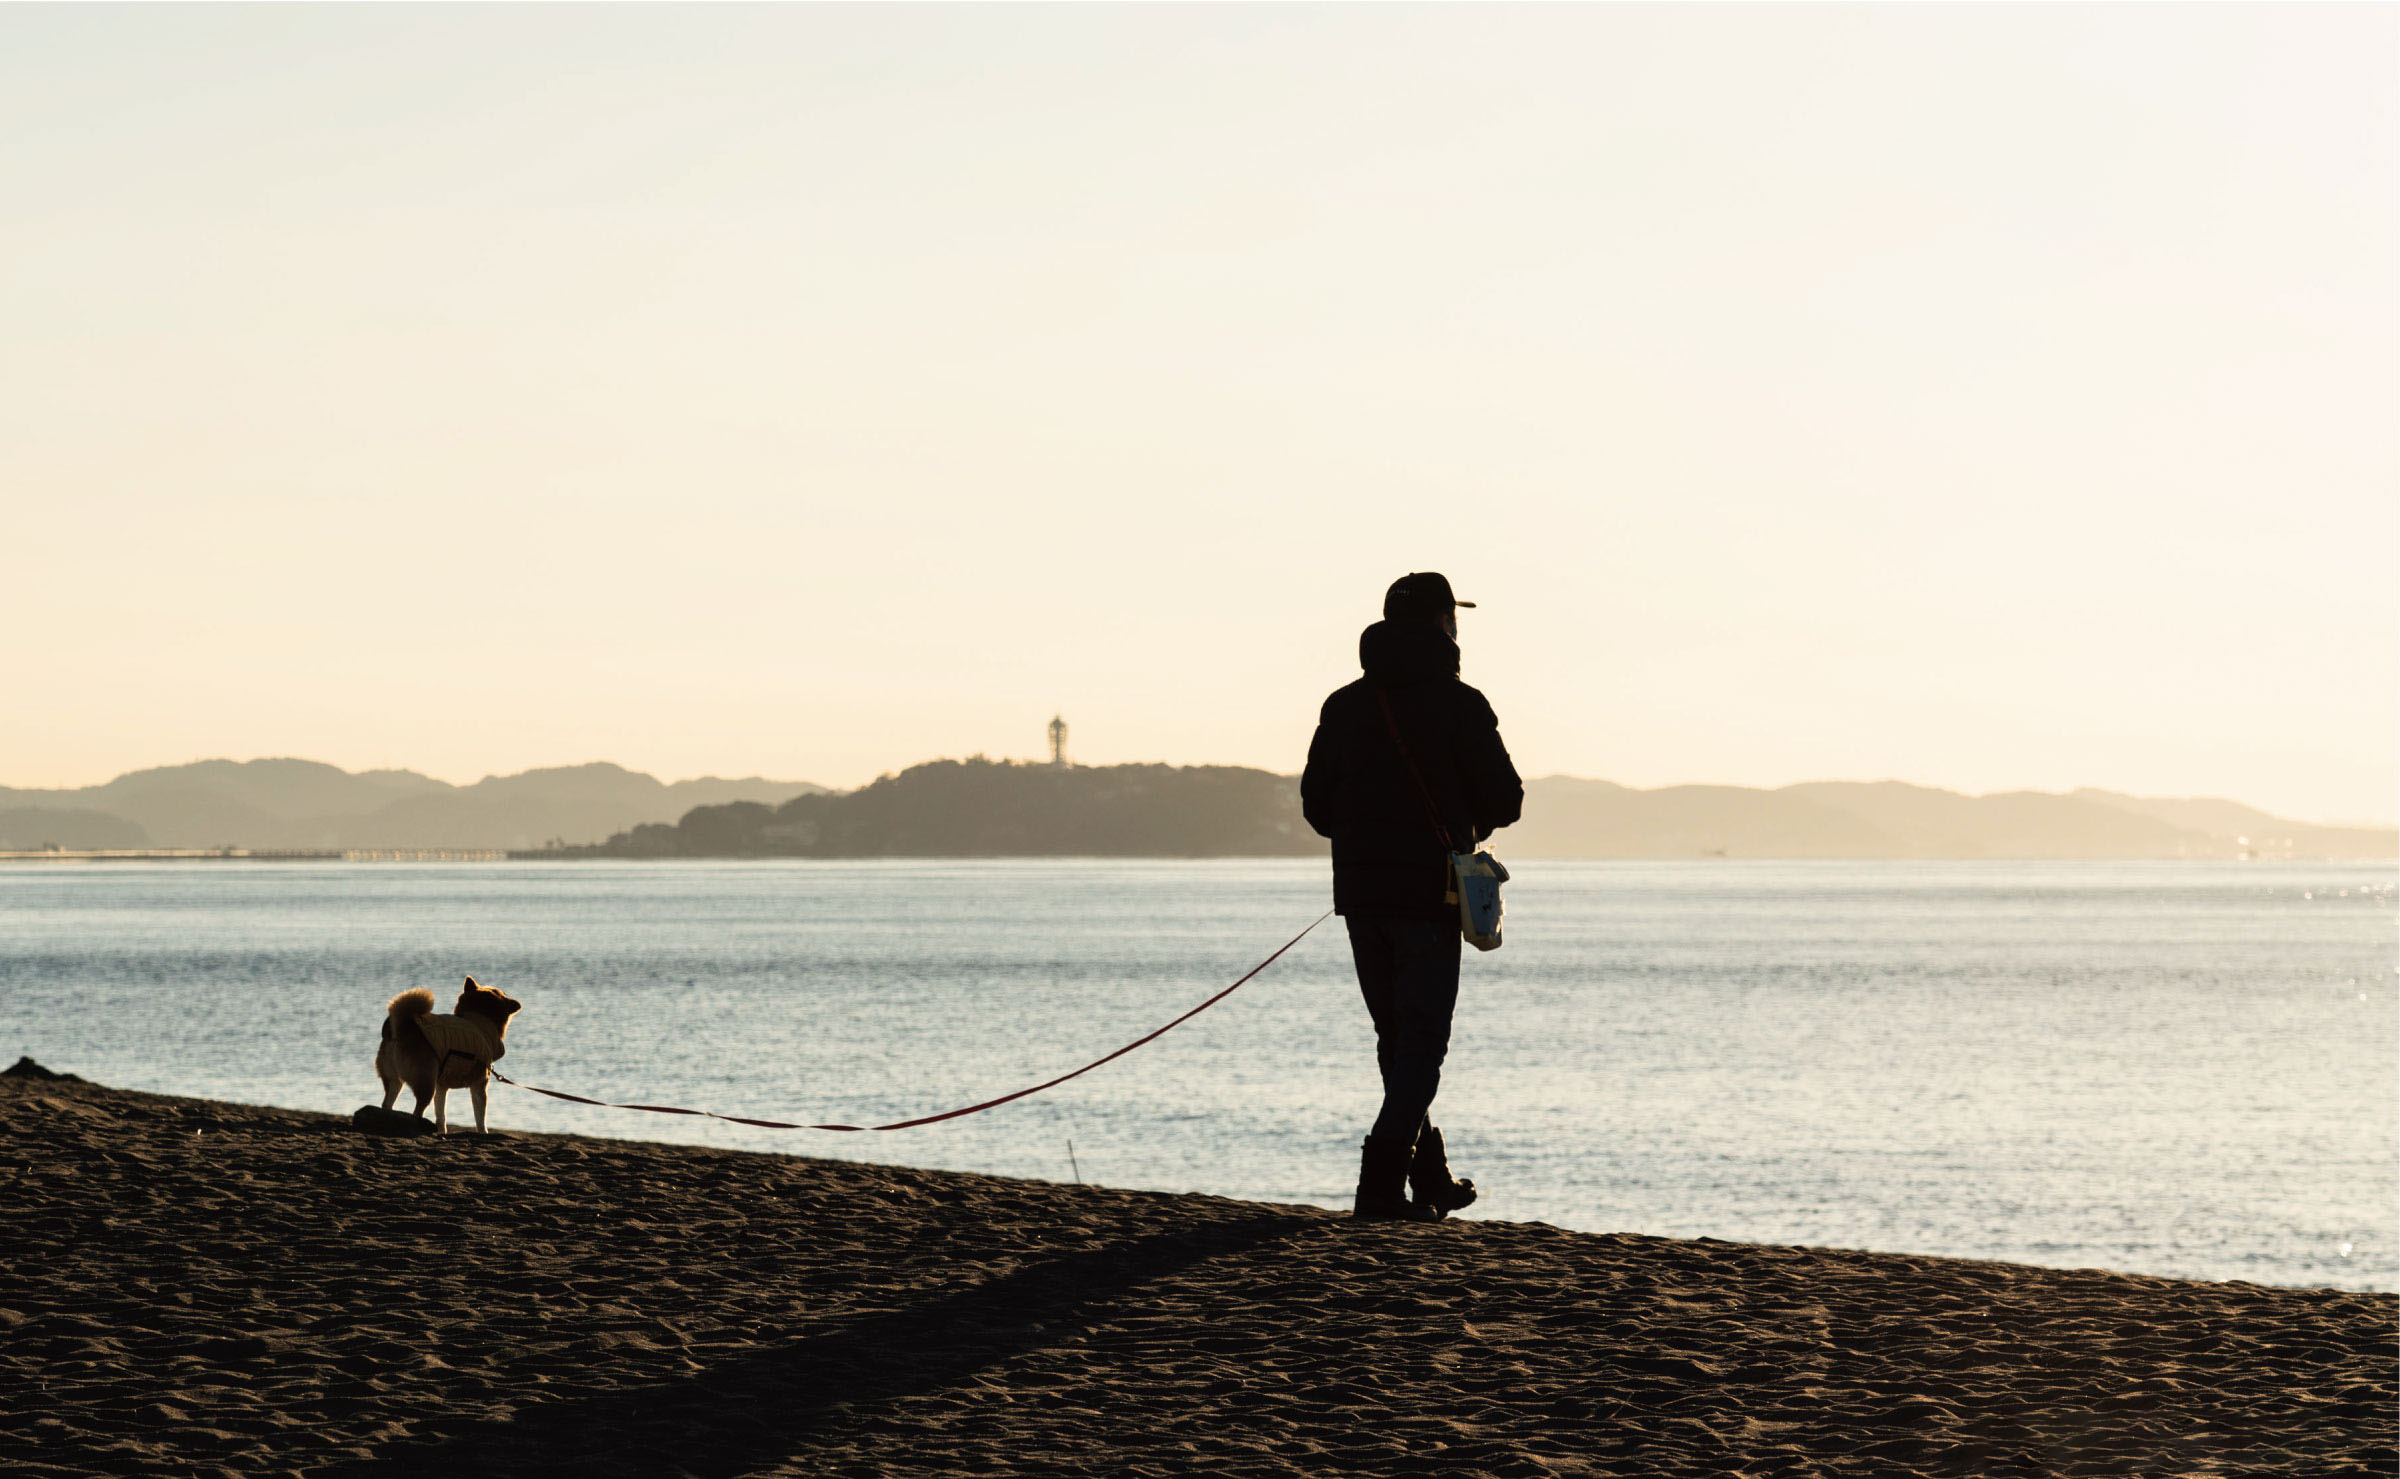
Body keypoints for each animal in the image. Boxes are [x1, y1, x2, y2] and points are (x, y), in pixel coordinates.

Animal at [376, 974, 523, 1138]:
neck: (479, 1020)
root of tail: (401, 1027)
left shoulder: (441, 1086)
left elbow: (441, 1114)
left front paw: (442, 1132)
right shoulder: (479, 1084)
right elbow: (480, 1117)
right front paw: (483, 1133)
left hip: (395, 1080)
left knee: (387, 1105)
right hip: (425, 1083)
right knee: (417, 1110)